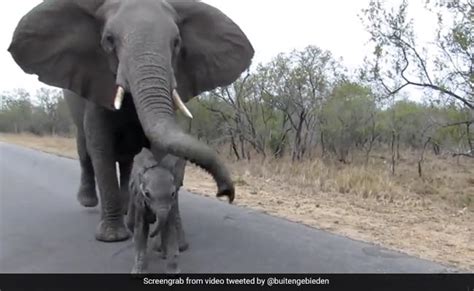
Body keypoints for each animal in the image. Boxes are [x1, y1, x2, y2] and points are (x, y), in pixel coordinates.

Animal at [8, 0, 252, 242]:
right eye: (109, 40)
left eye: (176, 42)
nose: (226, 193)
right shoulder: (97, 85)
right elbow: (101, 148)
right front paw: (112, 237)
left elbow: (158, 149)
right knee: (84, 151)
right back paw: (89, 202)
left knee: (127, 161)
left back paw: (127, 209)